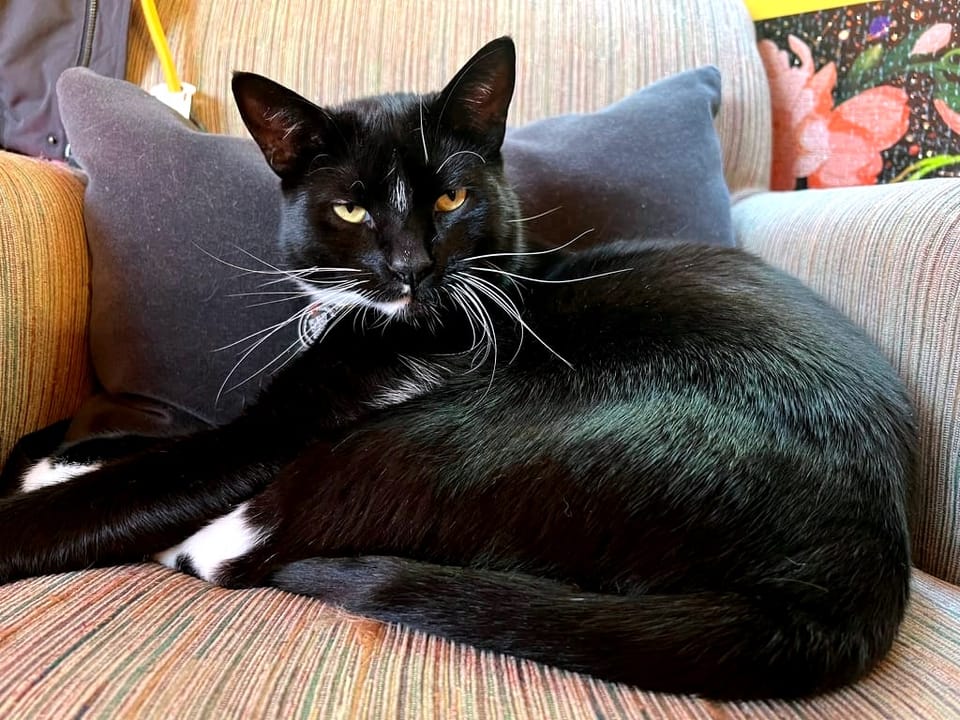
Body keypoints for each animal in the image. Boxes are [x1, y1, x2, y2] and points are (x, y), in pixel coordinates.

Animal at [0, 38, 916, 696]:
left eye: (449, 196)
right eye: (350, 208)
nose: (410, 266)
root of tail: (861, 562)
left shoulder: (290, 429)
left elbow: (158, 476)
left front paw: (34, 502)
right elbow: (154, 443)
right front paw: (56, 452)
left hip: (475, 431)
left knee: (257, 538)